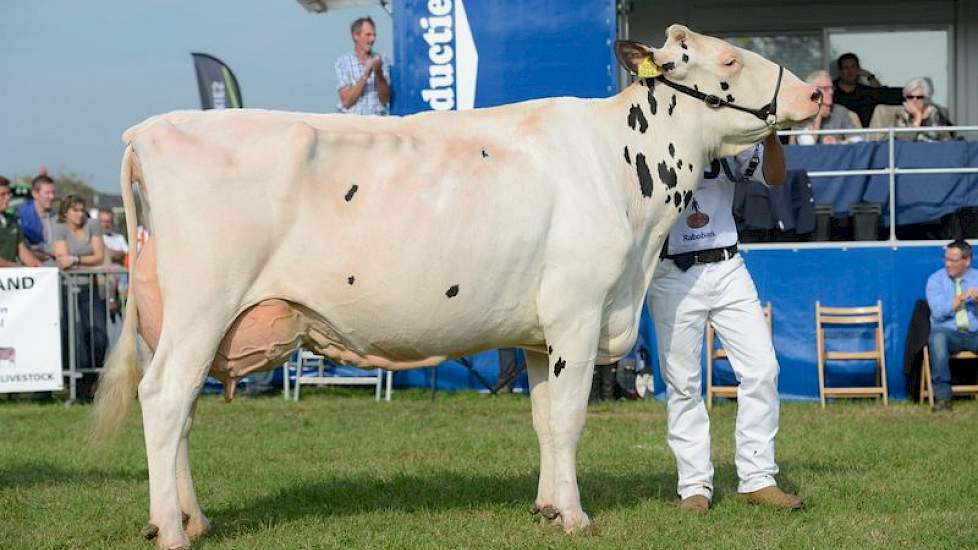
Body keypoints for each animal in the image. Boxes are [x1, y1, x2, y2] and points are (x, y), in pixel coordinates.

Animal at [95, 27, 820, 550]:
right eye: (728, 59)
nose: (815, 94)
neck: (623, 169)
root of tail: (149, 129)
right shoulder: (578, 311)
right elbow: (570, 418)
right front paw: (578, 517)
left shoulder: (539, 333)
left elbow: (544, 420)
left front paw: (548, 507)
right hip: (201, 307)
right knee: (163, 400)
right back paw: (172, 533)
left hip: (185, 322)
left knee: (182, 413)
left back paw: (190, 518)